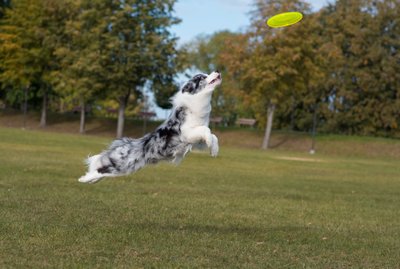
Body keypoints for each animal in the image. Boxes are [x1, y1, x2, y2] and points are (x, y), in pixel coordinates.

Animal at [78, 70, 222, 183]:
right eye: (202, 78)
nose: (217, 70)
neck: (196, 102)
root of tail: (124, 144)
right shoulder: (187, 133)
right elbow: (207, 130)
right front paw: (211, 144)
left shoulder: (196, 141)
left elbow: (213, 135)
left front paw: (214, 149)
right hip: (123, 165)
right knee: (101, 169)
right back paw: (83, 179)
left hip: (126, 168)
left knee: (102, 171)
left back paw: (89, 179)